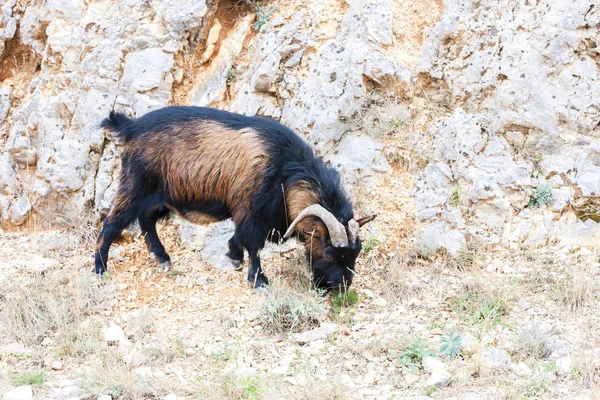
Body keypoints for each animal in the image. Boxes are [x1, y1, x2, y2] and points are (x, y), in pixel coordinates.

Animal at [95, 106, 376, 290]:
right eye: (328, 254)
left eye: (355, 254)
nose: (341, 287)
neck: (285, 169)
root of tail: (131, 127)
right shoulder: (252, 211)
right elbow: (254, 245)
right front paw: (258, 279)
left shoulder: (251, 213)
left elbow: (240, 238)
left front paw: (233, 253)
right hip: (136, 186)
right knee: (111, 224)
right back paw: (99, 269)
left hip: (160, 197)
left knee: (146, 221)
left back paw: (162, 257)